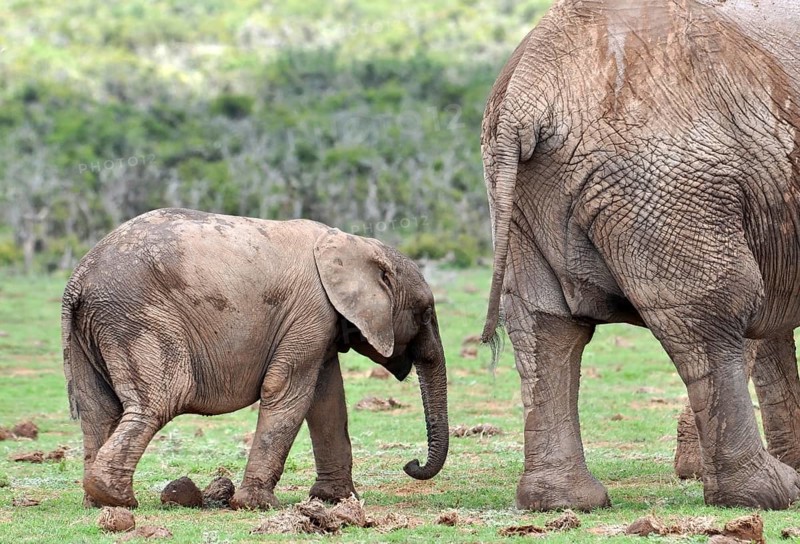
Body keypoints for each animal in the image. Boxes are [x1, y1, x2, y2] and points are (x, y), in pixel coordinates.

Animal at [62, 207, 448, 510]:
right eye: (426, 313)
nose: (411, 463)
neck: (355, 244)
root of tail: (78, 279)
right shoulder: (311, 311)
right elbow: (289, 391)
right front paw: (259, 505)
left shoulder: (319, 322)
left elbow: (327, 399)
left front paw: (335, 501)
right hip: (136, 317)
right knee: (159, 399)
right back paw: (118, 499)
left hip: (94, 328)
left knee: (98, 409)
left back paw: (97, 502)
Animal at [480, 0, 800, 510]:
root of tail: (528, 91)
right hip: (669, 178)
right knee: (717, 304)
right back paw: (769, 493)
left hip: (522, 192)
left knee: (543, 322)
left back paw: (564, 502)